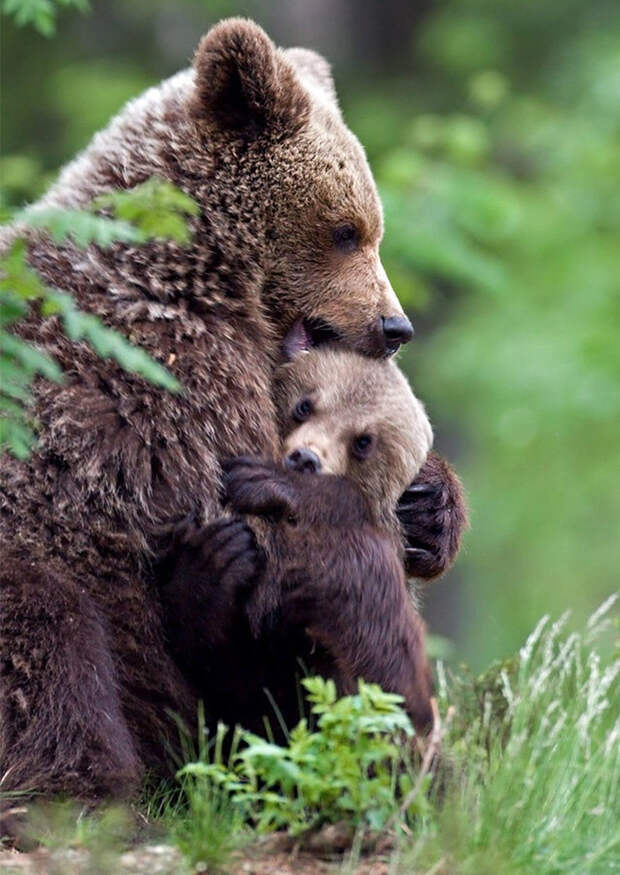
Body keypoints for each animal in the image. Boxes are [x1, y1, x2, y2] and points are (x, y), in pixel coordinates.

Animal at [0, 17, 464, 812]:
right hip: (33, 554)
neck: (206, 272)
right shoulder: (167, 383)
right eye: (346, 229)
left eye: (371, 227)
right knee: (54, 647)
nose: (395, 325)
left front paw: (431, 506)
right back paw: (89, 788)